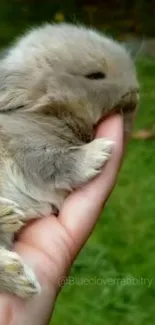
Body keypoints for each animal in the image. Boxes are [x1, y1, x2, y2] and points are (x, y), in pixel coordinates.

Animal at [0, 22, 139, 296]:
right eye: (95, 75)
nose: (136, 92)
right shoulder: (31, 149)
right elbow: (61, 162)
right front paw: (100, 151)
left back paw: (22, 278)